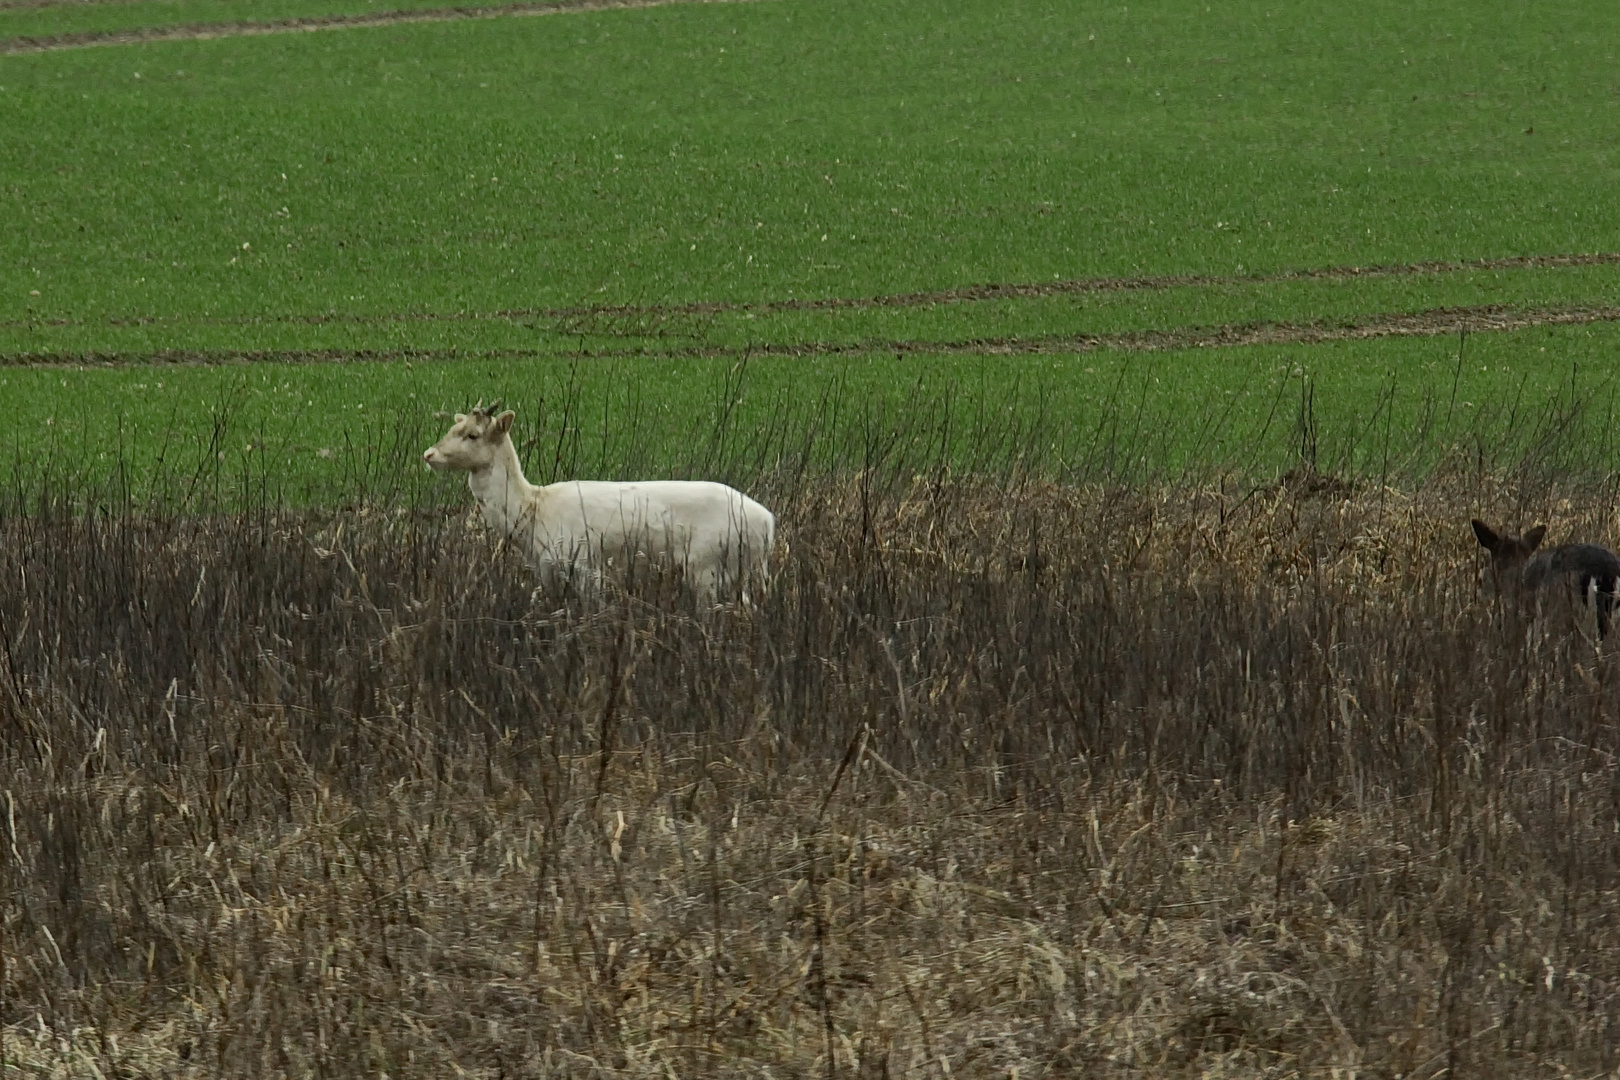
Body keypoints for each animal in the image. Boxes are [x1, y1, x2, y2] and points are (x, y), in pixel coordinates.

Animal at [417, 409, 771, 605]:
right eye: (452, 428)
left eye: (473, 434)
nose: (428, 454)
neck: (532, 511)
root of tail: (769, 523)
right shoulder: (546, 570)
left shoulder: (585, 562)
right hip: (745, 571)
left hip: (706, 565)